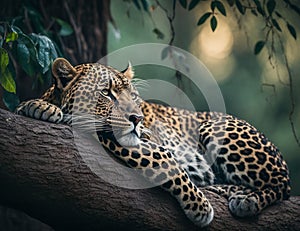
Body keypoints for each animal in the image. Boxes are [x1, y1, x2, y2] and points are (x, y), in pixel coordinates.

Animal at [15, 57, 290, 227]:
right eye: (106, 93)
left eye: (133, 95)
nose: (137, 118)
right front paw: (37, 106)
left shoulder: (146, 139)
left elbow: (168, 161)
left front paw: (200, 208)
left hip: (216, 128)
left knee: (281, 185)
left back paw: (246, 200)